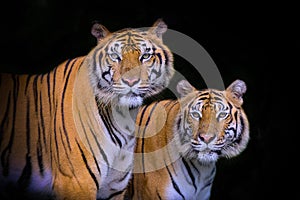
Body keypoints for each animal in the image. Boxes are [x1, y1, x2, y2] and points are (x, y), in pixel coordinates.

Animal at [0, 19, 175, 200]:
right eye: (115, 56)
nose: (131, 81)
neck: (124, 118)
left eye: (145, 56)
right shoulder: (77, 182)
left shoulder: (113, 188)